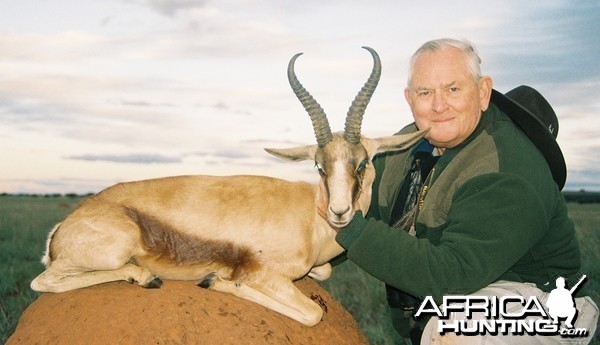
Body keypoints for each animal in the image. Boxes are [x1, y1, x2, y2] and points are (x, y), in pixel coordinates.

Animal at [30, 46, 424, 326]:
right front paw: (218, 281)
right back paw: (145, 277)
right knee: (43, 282)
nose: (339, 212)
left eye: (362, 163)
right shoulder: (268, 276)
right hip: (113, 249)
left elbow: (323, 273)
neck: (311, 221)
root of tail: (61, 228)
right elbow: (313, 313)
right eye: (318, 164)